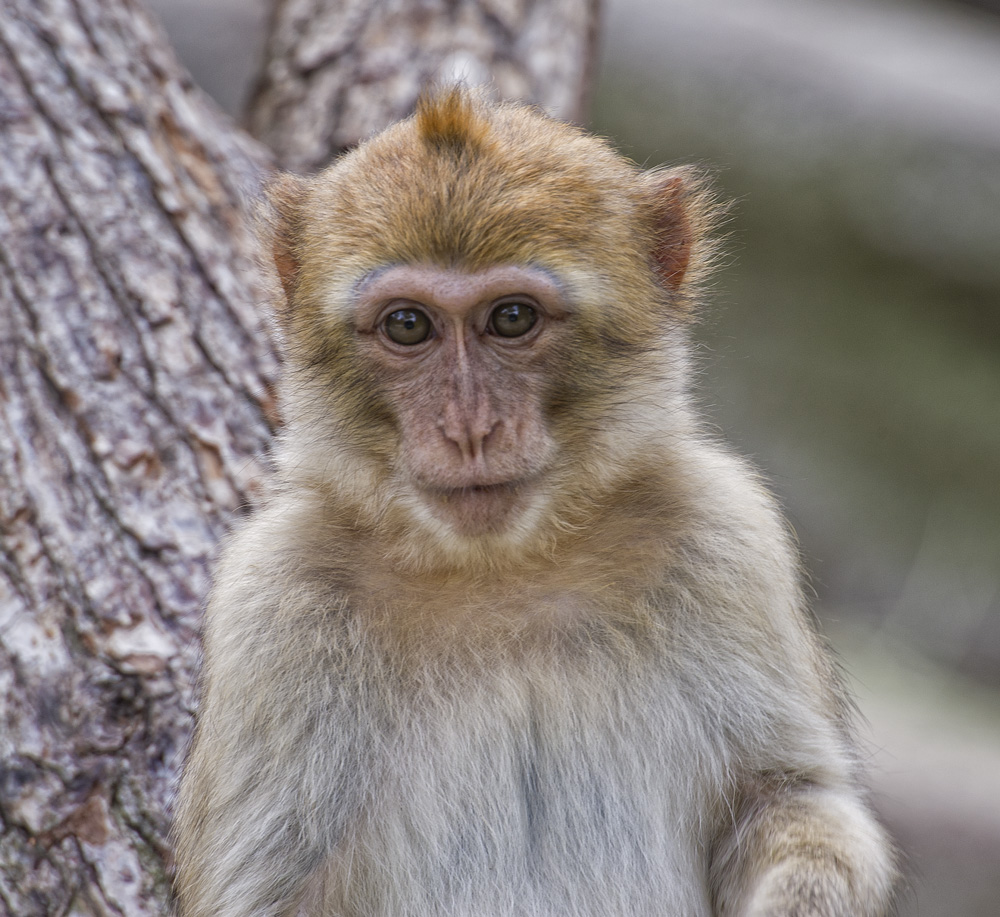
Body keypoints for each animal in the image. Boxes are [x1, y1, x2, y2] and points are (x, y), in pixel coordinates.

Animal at [174, 87, 900, 916]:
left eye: (512, 317)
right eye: (408, 324)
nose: (469, 429)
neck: (505, 568)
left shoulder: (726, 535)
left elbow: (791, 796)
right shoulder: (271, 600)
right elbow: (273, 890)